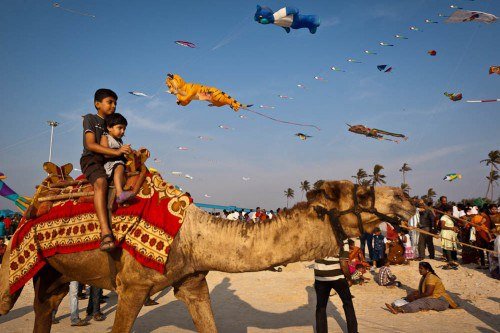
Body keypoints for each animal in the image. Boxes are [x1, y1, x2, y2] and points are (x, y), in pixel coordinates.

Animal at [0, 180, 414, 330]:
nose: (407, 198)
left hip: (52, 271)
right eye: (363, 193)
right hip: (14, 259)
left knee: (46, 303)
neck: (195, 236)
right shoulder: (132, 285)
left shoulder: (192, 281)